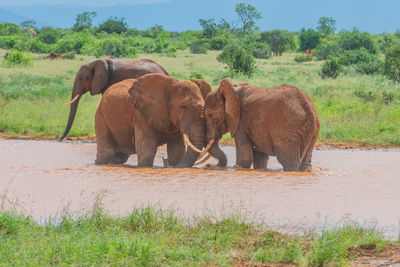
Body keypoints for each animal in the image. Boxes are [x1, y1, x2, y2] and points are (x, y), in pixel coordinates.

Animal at [93, 74, 225, 169]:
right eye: (183, 106)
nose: (165, 162)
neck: (171, 84)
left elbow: (177, 151)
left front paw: (174, 163)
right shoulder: (140, 114)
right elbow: (147, 151)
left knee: (120, 156)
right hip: (100, 115)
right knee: (106, 152)